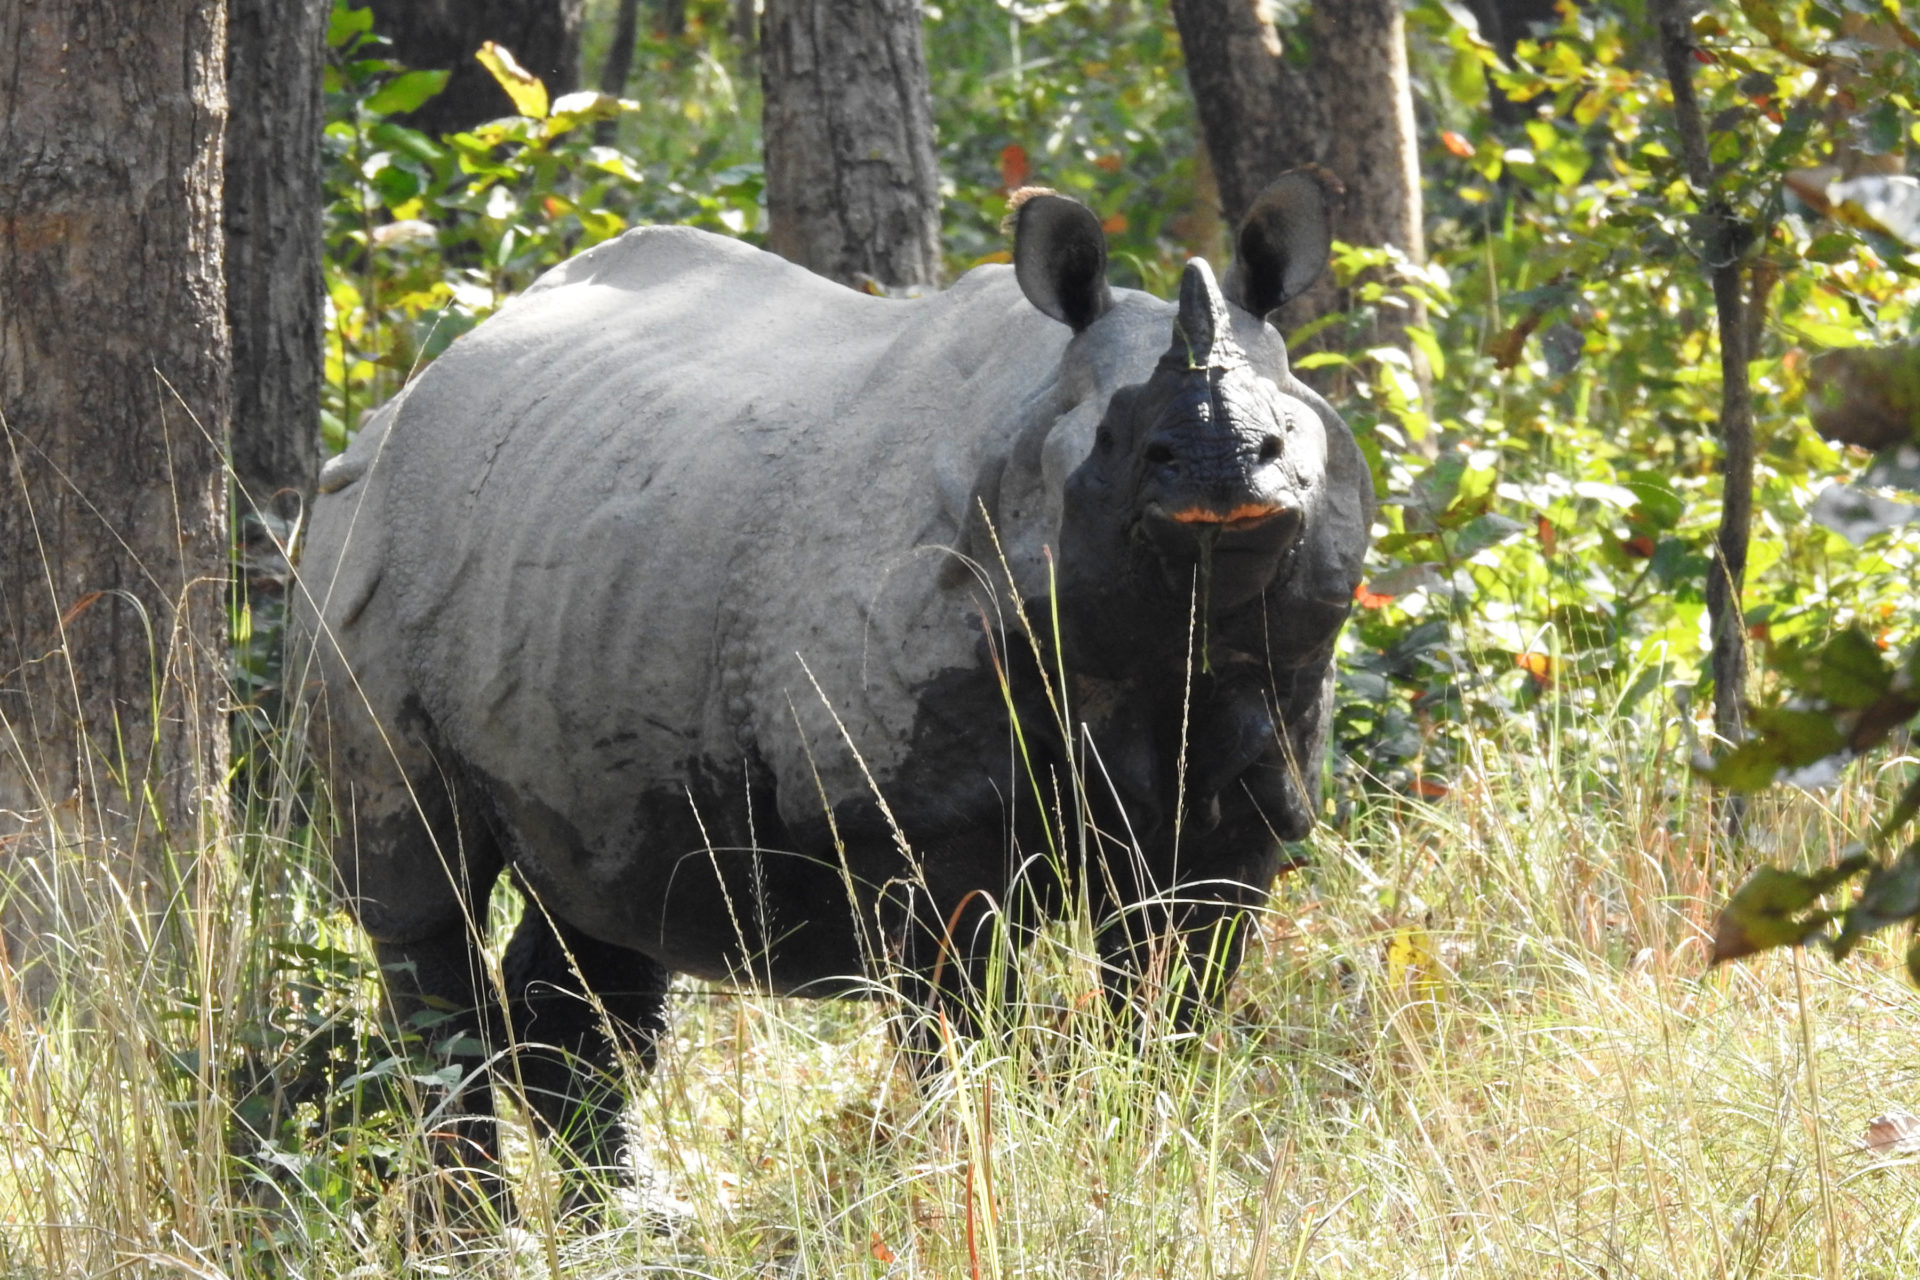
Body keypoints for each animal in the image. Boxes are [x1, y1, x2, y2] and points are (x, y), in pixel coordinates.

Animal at [295, 175, 1382, 1205]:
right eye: (1124, 444)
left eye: (1290, 430)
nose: (1221, 466)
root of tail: (410, 392)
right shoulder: (917, 817)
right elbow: (961, 1018)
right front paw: (983, 1180)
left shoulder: (1242, 795)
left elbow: (1177, 996)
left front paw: (1157, 1151)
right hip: (363, 533)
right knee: (422, 891)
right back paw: (483, 1235)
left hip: (590, 549)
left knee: (602, 896)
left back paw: (633, 1223)